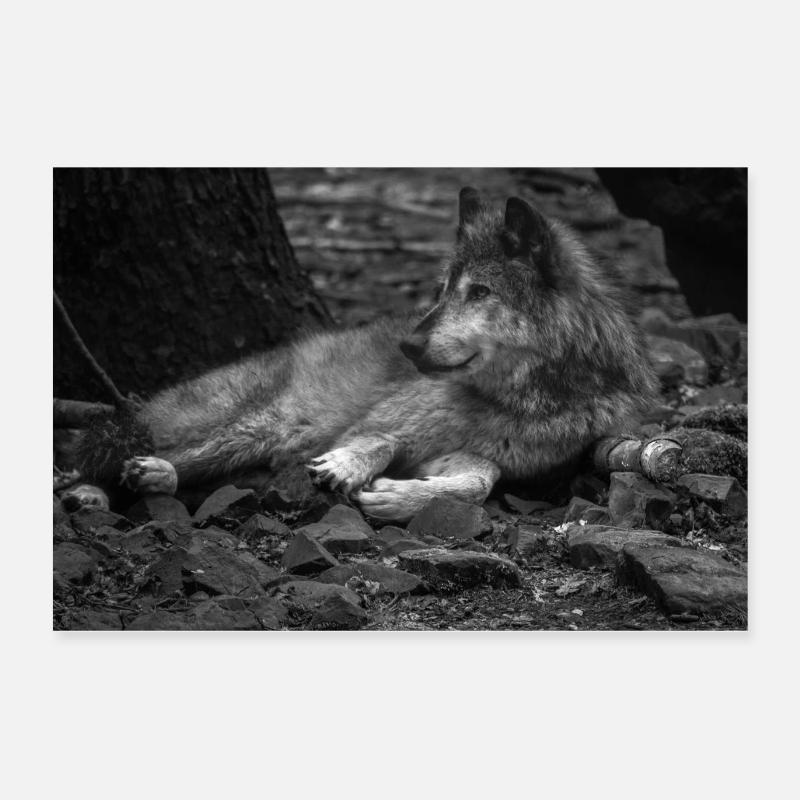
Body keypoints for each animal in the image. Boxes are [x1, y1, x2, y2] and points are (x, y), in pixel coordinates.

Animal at [67, 188, 657, 522]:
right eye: (442, 289)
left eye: (480, 292)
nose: (408, 345)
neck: (523, 401)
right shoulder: (380, 421)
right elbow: (378, 439)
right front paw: (348, 468)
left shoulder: (476, 456)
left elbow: (477, 483)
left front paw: (394, 499)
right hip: (249, 427)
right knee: (91, 458)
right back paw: (93, 492)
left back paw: (151, 481)